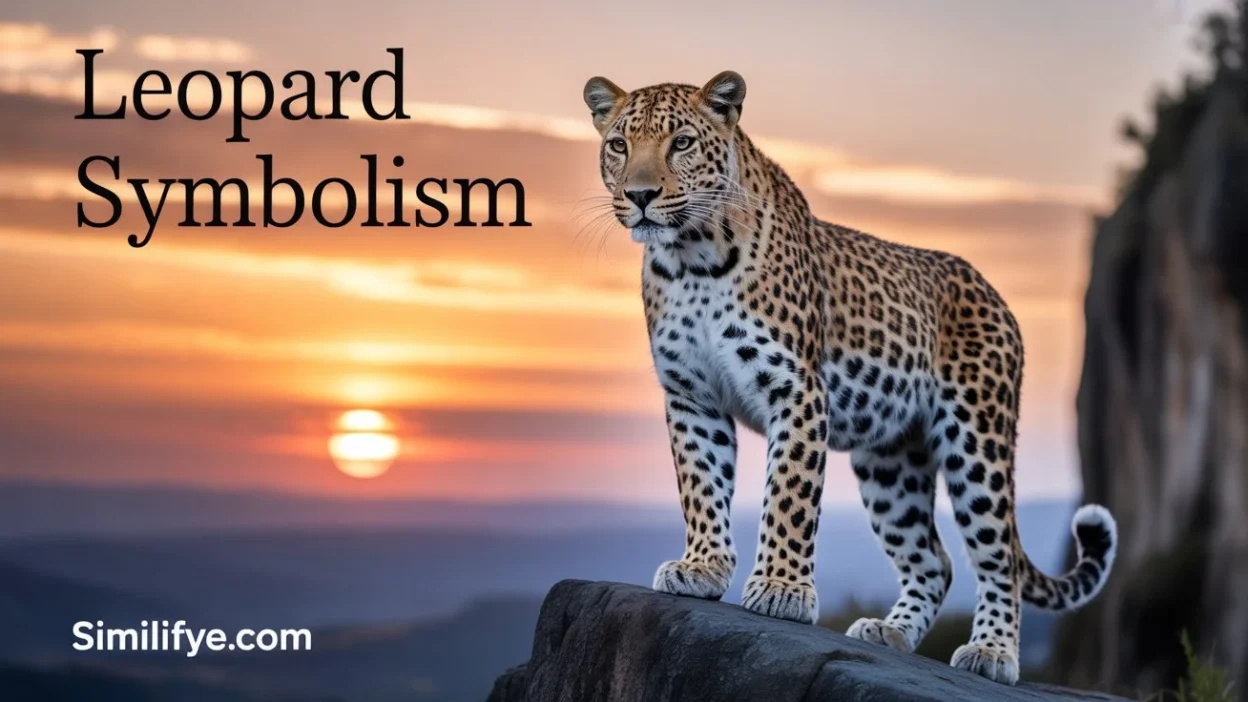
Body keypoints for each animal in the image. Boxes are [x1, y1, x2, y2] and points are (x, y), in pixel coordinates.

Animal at [581, 71, 1119, 685]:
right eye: (619, 145)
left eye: (682, 143)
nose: (640, 196)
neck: (691, 261)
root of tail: (997, 297)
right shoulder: (691, 397)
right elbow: (701, 484)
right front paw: (703, 567)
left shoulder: (795, 388)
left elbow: (788, 494)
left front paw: (781, 589)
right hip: (891, 462)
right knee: (933, 559)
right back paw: (890, 631)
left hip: (978, 439)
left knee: (997, 554)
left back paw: (992, 652)